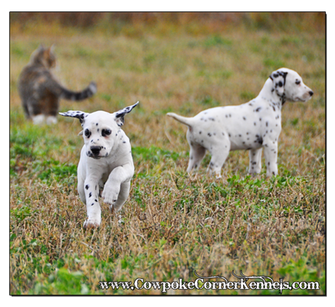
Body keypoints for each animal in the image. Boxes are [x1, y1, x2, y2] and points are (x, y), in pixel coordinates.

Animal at [60, 101, 139, 229]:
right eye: (87, 132)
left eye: (107, 132)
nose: (95, 148)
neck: (108, 156)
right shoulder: (91, 179)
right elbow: (92, 201)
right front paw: (92, 221)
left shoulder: (128, 167)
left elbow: (117, 171)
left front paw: (110, 192)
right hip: (81, 188)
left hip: (125, 189)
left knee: (117, 205)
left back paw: (116, 216)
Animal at [168, 67, 316, 178]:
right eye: (297, 82)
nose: (311, 92)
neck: (268, 101)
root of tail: (193, 120)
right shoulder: (271, 143)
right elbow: (272, 167)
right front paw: (273, 180)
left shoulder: (256, 148)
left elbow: (255, 167)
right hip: (221, 148)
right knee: (213, 170)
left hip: (197, 152)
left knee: (191, 170)